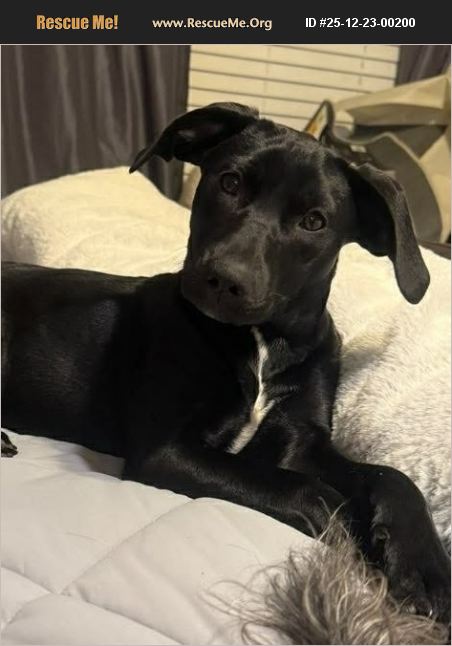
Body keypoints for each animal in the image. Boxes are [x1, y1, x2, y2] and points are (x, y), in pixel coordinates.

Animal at [2, 102, 450, 623]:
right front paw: (358, 552)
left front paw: (422, 565)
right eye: (229, 182)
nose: (224, 279)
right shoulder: (166, 451)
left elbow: (390, 476)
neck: (259, 345)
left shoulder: (301, 441)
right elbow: (313, 494)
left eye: (314, 221)